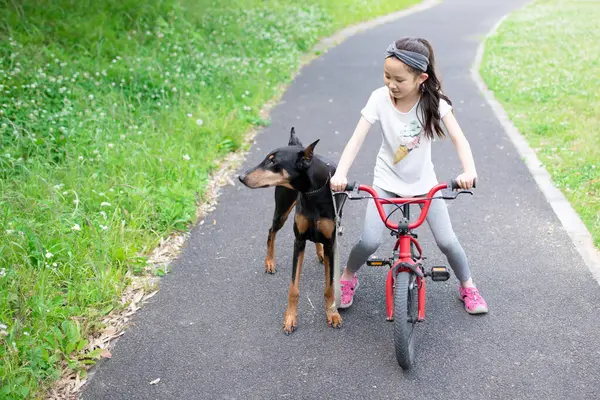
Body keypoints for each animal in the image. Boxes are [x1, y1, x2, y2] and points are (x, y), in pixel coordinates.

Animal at [239, 128, 342, 334]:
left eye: (273, 162)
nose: (241, 177)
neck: (313, 191)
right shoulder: (298, 240)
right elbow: (293, 288)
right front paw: (290, 318)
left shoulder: (330, 242)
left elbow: (330, 286)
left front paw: (332, 313)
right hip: (283, 210)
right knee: (271, 231)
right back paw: (269, 262)